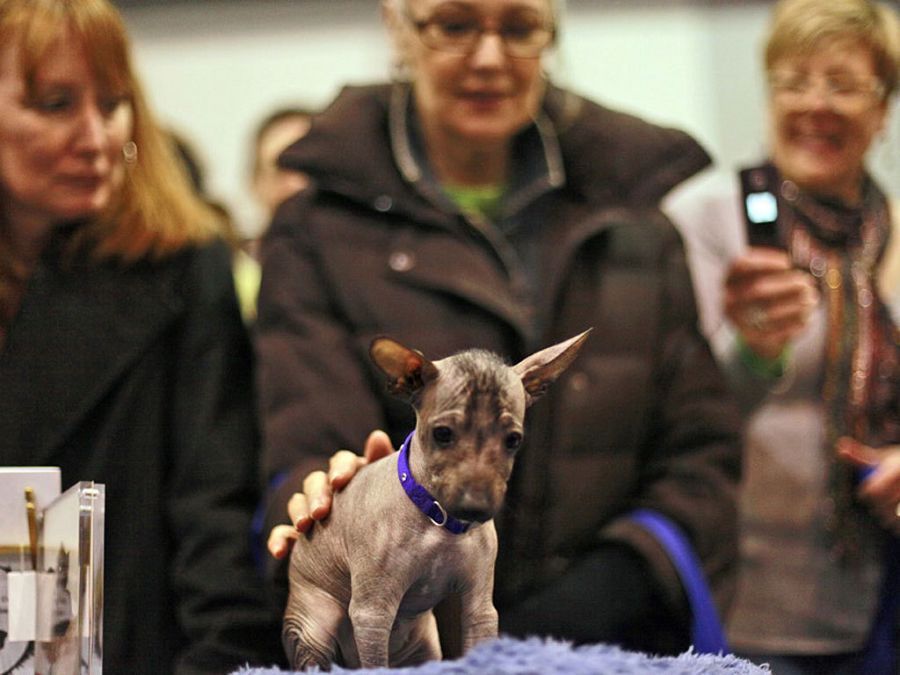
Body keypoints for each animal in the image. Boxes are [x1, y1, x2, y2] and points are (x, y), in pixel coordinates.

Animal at [284, 330, 592, 668]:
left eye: (513, 440)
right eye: (442, 434)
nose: (475, 507)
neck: (438, 522)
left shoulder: (480, 608)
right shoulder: (372, 614)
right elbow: (376, 663)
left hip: (424, 647)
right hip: (313, 627)